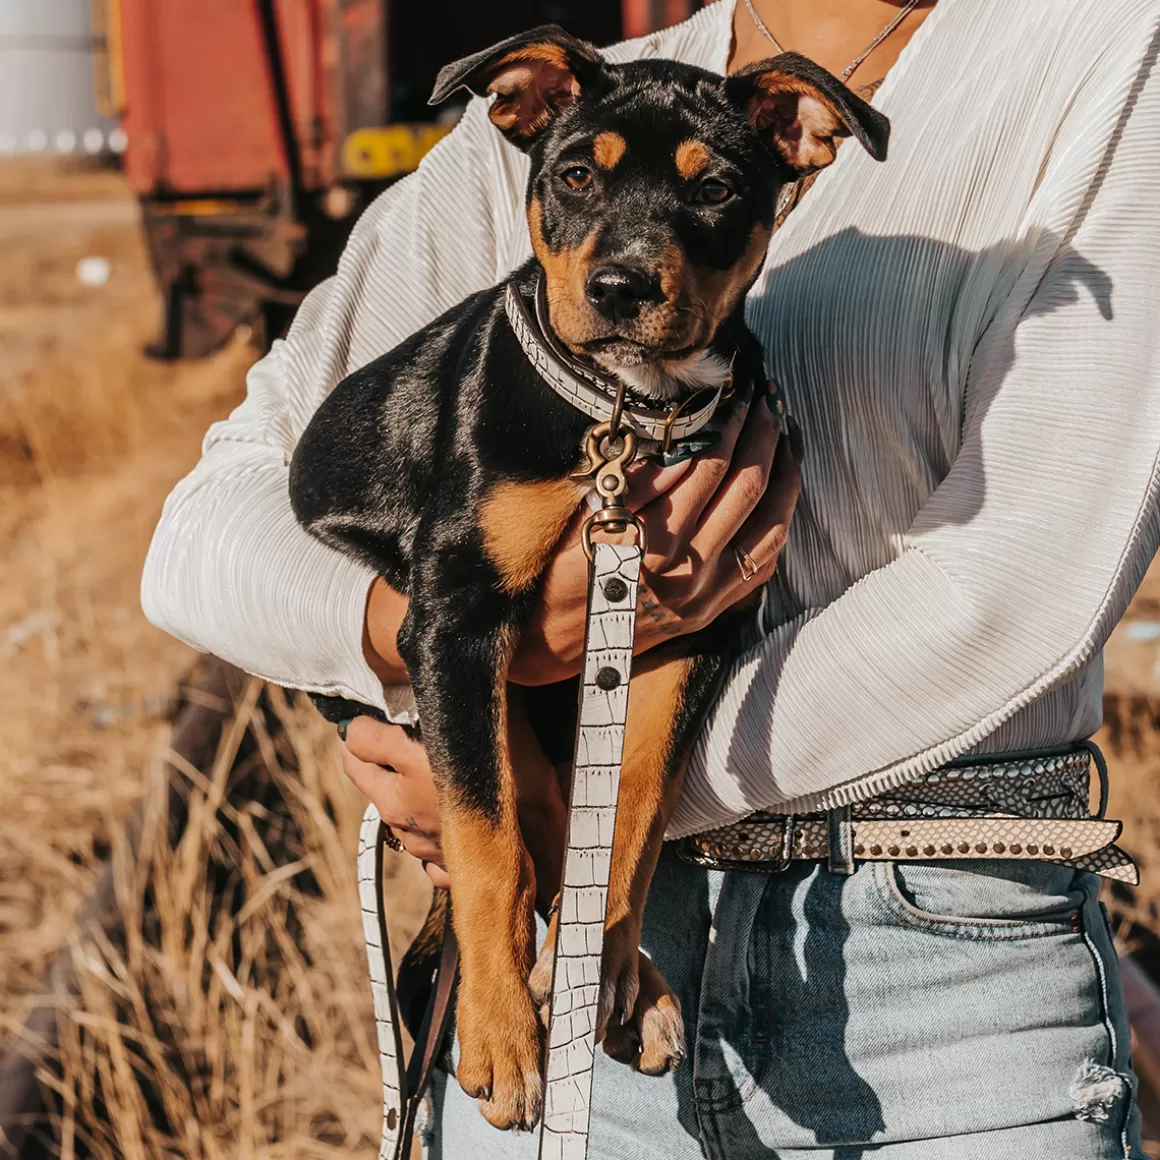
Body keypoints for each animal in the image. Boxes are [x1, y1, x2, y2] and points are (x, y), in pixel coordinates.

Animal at [292, 24, 886, 1132]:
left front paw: (599, 969)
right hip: (411, 686)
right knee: (510, 816)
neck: (627, 414)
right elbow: (484, 840)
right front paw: (495, 1034)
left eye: (714, 189)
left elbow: (634, 809)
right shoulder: (453, 620)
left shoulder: (690, 632)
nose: (620, 289)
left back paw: (623, 981)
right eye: (574, 175)